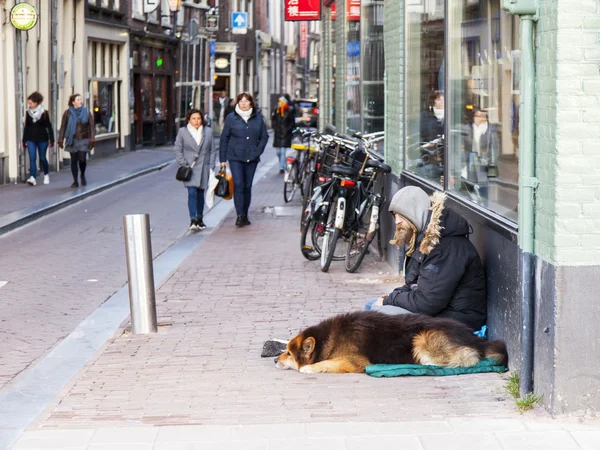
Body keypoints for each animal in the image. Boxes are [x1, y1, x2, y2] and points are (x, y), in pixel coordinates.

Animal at [276, 312, 506, 374]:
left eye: (288, 353)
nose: (274, 361)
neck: (328, 339)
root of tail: (477, 339)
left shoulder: (356, 361)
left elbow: (325, 363)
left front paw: (309, 368)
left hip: (422, 337)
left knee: (463, 361)